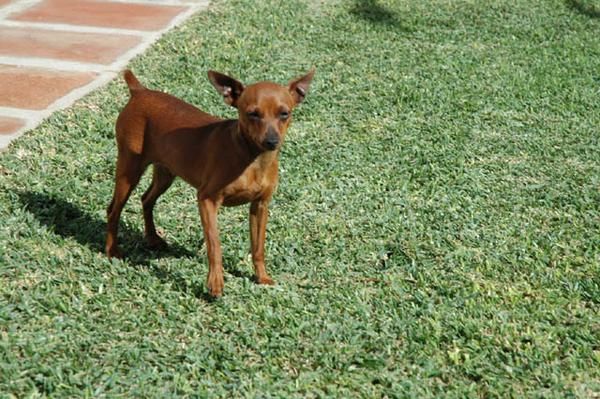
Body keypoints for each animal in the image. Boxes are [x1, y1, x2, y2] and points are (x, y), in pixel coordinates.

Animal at [106, 69, 316, 296]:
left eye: (284, 113)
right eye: (252, 113)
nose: (271, 142)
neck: (252, 158)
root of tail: (139, 91)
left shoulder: (260, 206)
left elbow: (258, 247)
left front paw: (261, 277)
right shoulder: (207, 200)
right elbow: (215, 246)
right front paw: (215, 283)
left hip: (166, 173)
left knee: (146, 199)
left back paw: (153, 238)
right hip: (129, 170)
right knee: (113, 210)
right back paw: (112, 250)